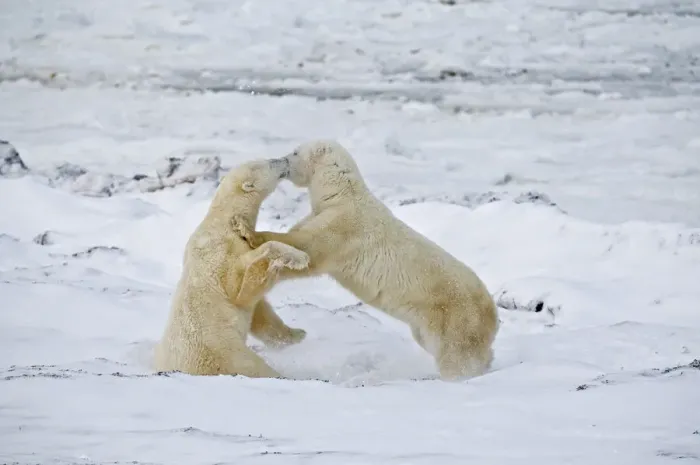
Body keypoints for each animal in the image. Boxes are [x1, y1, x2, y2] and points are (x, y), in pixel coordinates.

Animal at [152, 157, 309, 379]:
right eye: (269, 162)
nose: (285, 160)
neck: (224, 219)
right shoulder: (219, 250)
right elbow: (238, 289)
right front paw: (298, 257)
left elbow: (256, 307)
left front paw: (295, 334)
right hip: (225, 352)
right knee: (254, 367)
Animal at [253, 140, 499, 381]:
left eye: (295, 152)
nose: (283, 161)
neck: (342, 193)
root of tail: (492, 313)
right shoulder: (322, 215)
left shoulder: (344, 226)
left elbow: (310, 252)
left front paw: (257, 236)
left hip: (455, 317)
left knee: (457, 357)